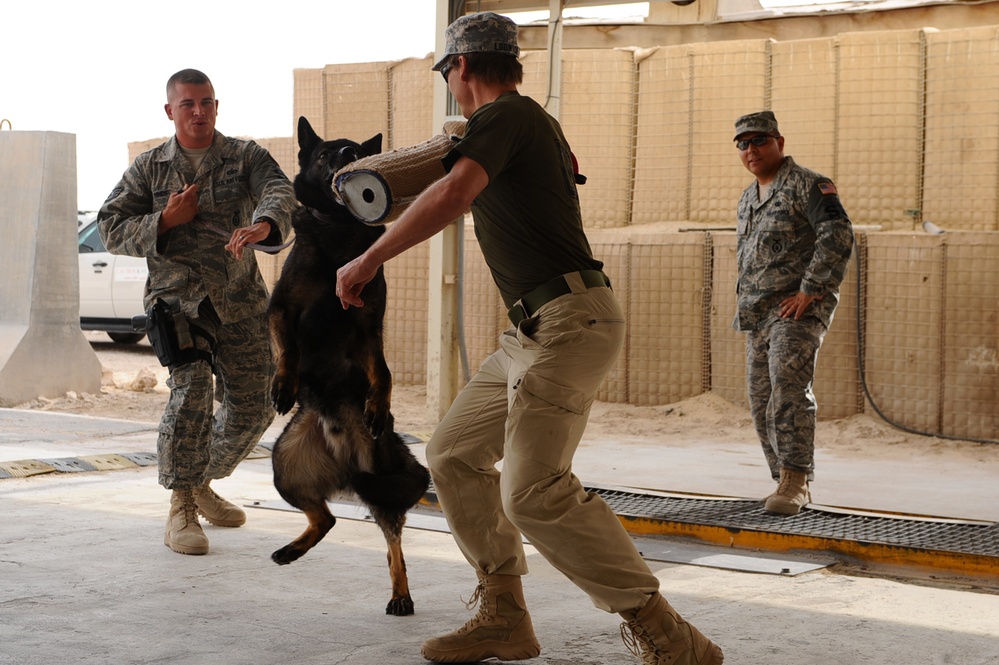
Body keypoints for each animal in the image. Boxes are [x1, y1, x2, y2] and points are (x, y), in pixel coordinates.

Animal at [270, 116, 430, 616]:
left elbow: (385, 372)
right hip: (285, 467)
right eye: (326, 155)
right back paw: (292, 549)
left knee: (392, 542)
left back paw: (401, 594)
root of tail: (341, 459)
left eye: (357, 151)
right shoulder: (281, 310)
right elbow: (288, 352)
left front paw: (379, 404)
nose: (345, 159)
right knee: (326, 519)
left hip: (377, 476)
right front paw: (284, 384)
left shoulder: (367, 325)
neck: (338, 233)